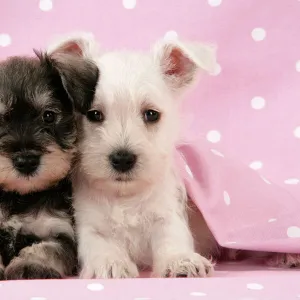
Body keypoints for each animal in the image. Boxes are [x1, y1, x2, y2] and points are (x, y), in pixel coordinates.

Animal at [0, 49, 99, 282]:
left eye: (49, 116)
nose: (26, 161)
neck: (21, 196)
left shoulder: (59, 230)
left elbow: (47, 249)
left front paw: (31, 265)